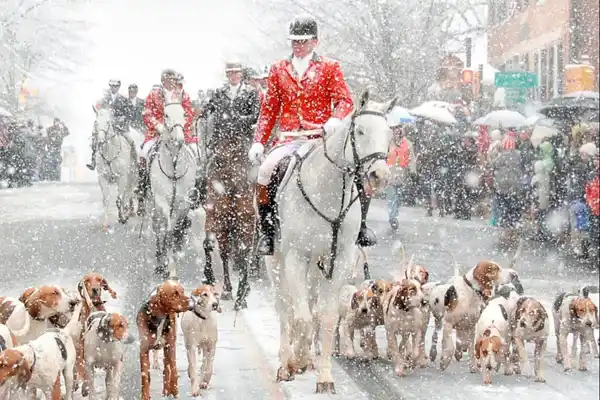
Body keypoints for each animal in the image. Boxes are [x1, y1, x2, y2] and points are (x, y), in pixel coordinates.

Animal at [148, 99, 199, 278]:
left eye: (184, 113)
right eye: (166, 115)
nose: (178, 139)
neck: (174, 167)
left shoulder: (183, 203)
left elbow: (176, 230)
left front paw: (173, 263)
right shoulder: (161, 201)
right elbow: (167, 232)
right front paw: (167, 267)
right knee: (158, 228)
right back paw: (159, 260)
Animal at [266, 90, 396, 390]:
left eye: (389, 134)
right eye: (360, 131)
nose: (379, 175)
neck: (327, 190)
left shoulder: (342, 260)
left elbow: (324, 317)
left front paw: (323, 375)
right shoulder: (296, 256)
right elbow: (301, 316)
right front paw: (297, 361)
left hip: (317, 266)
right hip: (276, 261)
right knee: (285, 307)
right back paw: (286, 361)